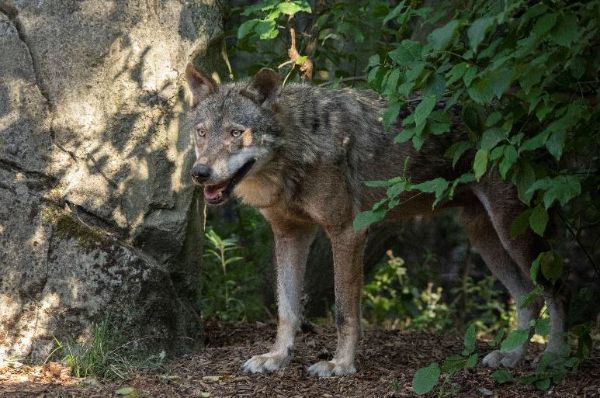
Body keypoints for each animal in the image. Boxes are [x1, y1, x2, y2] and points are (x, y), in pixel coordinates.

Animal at [184, 63, 568, 374]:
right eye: (201, 132)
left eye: (236, 133)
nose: (199, 173)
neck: (300, 146)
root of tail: (524, 110)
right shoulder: (290, 234)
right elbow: (287, 310)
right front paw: (276, 358)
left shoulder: (347, 232)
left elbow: (344, 312)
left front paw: (340, 365)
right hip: (483, 238)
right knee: (528, 297)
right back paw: (511, 357)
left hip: (514, 234)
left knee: (556, 290)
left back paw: (553, 357)